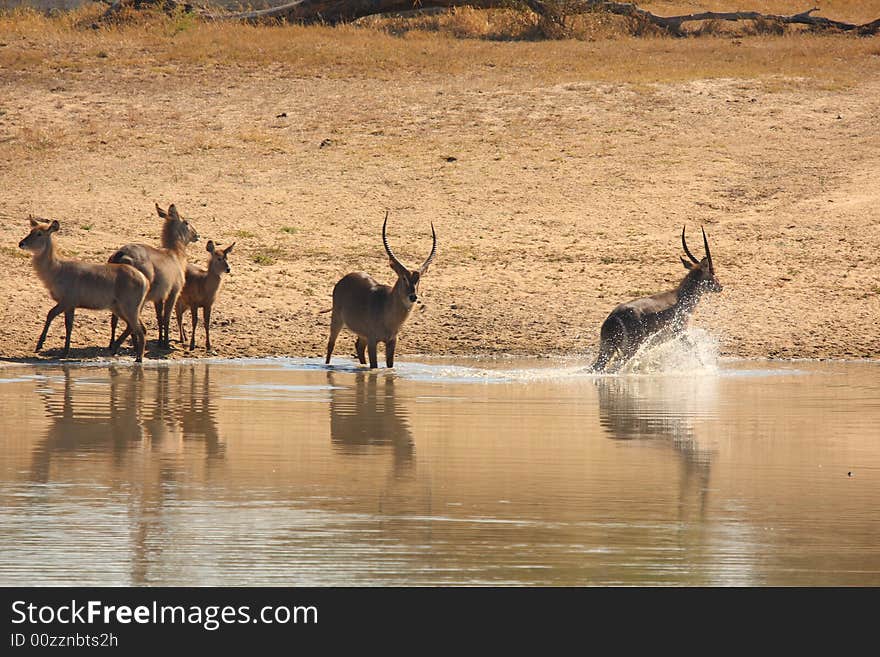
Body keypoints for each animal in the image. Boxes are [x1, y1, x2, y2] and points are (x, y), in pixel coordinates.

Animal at [18, 217, 148, 362]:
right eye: (30, 231)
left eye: (39, 233)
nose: (21, 243)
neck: (57, 270)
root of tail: (144, 279)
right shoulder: (70, 305)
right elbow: (69, 326)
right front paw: (64, 352)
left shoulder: (67, 301)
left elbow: (50, 314)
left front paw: (39, 345)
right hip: (119, 308)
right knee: (136, 327)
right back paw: (118, 350)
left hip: (129, 307)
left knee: (139, 329)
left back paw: (138, 358)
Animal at [108, 204, 199, 348]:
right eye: (186, 222)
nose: (197, 235)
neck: (175, 254)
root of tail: (121, 254)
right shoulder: (173, 292)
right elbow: (166, 317)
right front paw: (165, 343)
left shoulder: (158, 297)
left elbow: (159, 317)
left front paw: (161, 341)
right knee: (130, 321)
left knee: (115, 319)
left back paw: (114, 344)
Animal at [324, 214, 436, 372]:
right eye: (403, 277)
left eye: (418, 279)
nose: (413, 296)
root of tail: (345, 278)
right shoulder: (373, 341)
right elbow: (374, 365)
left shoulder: (392, 341)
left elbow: (389, 365)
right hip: (337, 320)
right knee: (330, 345)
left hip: (362, 334)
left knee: (358, 346)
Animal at [592, 226, 720, 372]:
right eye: (712, 273)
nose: (720, 287)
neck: (680, 296)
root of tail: (614, 316)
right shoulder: (680, 332)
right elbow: (694, 348)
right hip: (630, 347)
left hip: (607, 349)